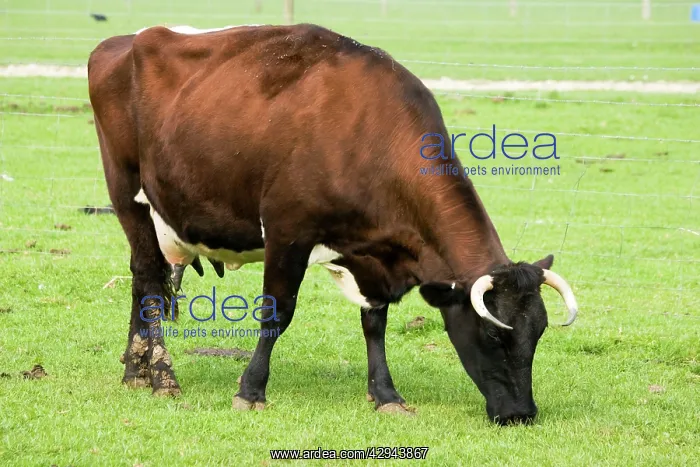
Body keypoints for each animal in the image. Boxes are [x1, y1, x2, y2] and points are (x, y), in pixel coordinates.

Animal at [87, 23, 578, 425]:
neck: (368, 131)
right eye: (493, 336)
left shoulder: (373, 253)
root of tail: (124, 42)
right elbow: (277, 313)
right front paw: (251, 390)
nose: (521, 414)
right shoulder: (287, 231)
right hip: (128, 195)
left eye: (538, 333)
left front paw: (386, 395)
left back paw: (135, 370)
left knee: (144, 279)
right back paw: (162, 377)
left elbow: (374, 322)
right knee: (149, 281)